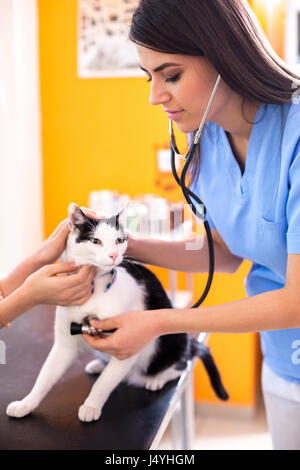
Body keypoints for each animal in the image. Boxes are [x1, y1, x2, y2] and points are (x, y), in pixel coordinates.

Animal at [6, 202, 227, 422]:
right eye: (95, 241)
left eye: (119, 240)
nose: (113, 255)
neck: (94, 287)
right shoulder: (65, 343)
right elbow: (45, 376)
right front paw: (26, 404)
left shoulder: (128, 343)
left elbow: (104, 383)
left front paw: (91, 406)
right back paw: (98, 365)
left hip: (174, 339)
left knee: (181, 364)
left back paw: (155, 379)